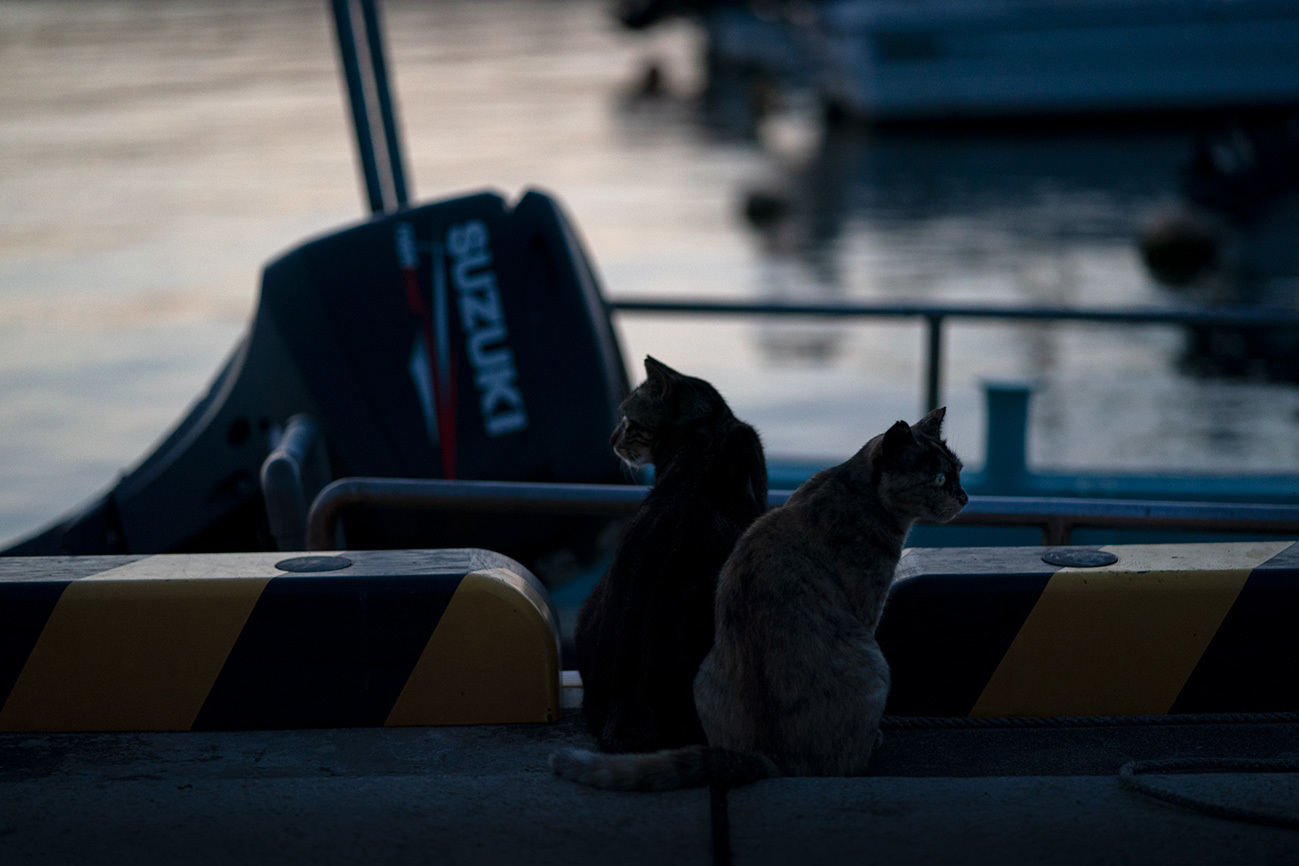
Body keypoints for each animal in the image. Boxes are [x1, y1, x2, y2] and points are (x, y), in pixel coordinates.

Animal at [548, 410, 966, 789]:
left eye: (959, 470)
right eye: (939, 479)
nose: (963, 497)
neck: (853, 488)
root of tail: (773, 758)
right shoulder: (867, 608)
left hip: (705, 673)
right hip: (875, 663)